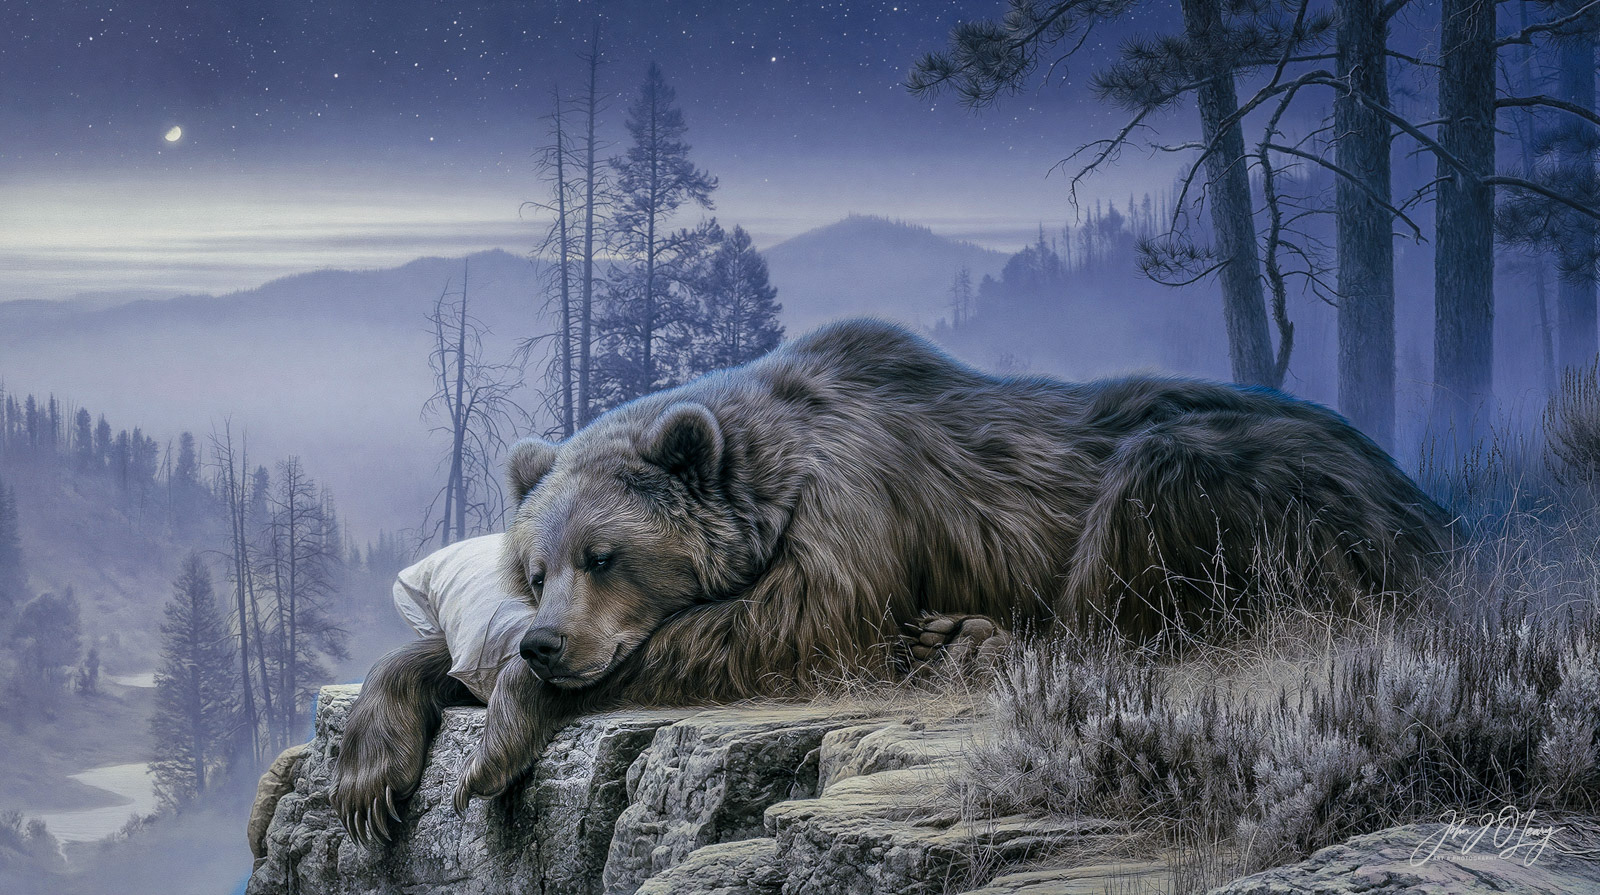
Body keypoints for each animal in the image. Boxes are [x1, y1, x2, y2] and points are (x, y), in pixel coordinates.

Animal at [331, 318, 1449, 844]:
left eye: (605, 554)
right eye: (535, 566)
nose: (545, 640)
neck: (772, 470)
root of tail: (1429, 501)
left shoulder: (854, 510)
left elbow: (773, 630)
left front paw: (494, 742)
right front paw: (370, 769)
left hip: (1238, 479)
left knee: (1141, 533)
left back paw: (975, 637)